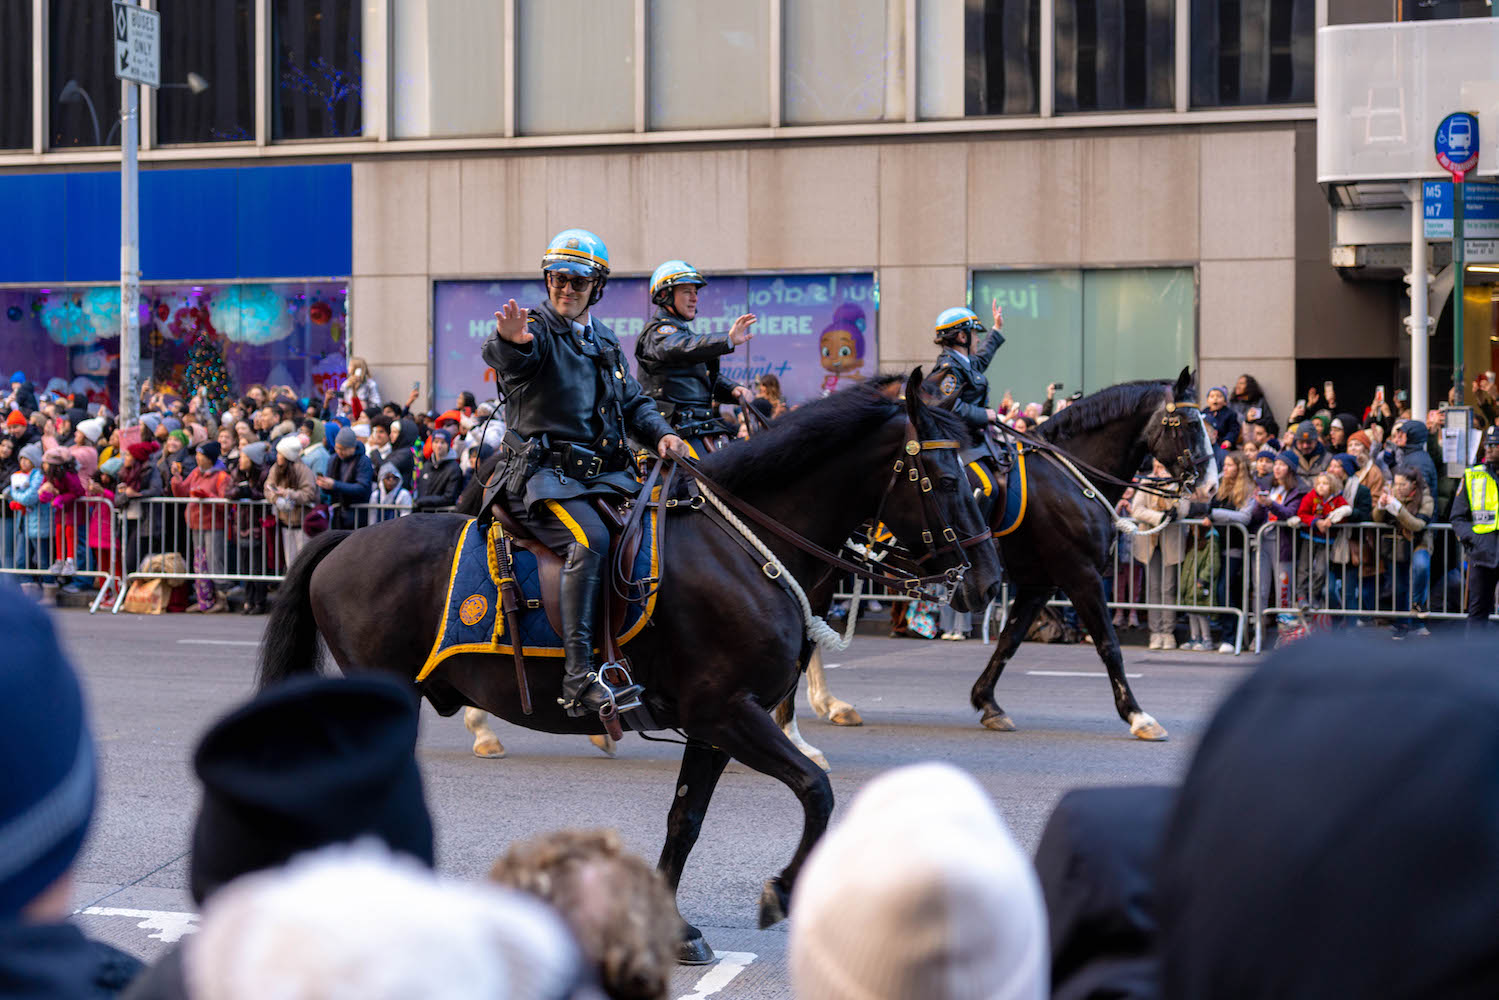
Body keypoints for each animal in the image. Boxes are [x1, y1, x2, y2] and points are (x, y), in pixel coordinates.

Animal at [257, 373, 1001, 959]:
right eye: (944, 478)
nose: (988, 583)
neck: (741, 549)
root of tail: (343, 540)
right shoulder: (730, 713)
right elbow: (815, 791)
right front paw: (782, 891)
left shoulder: (713, 726)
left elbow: (685, 820)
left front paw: (672, 928)